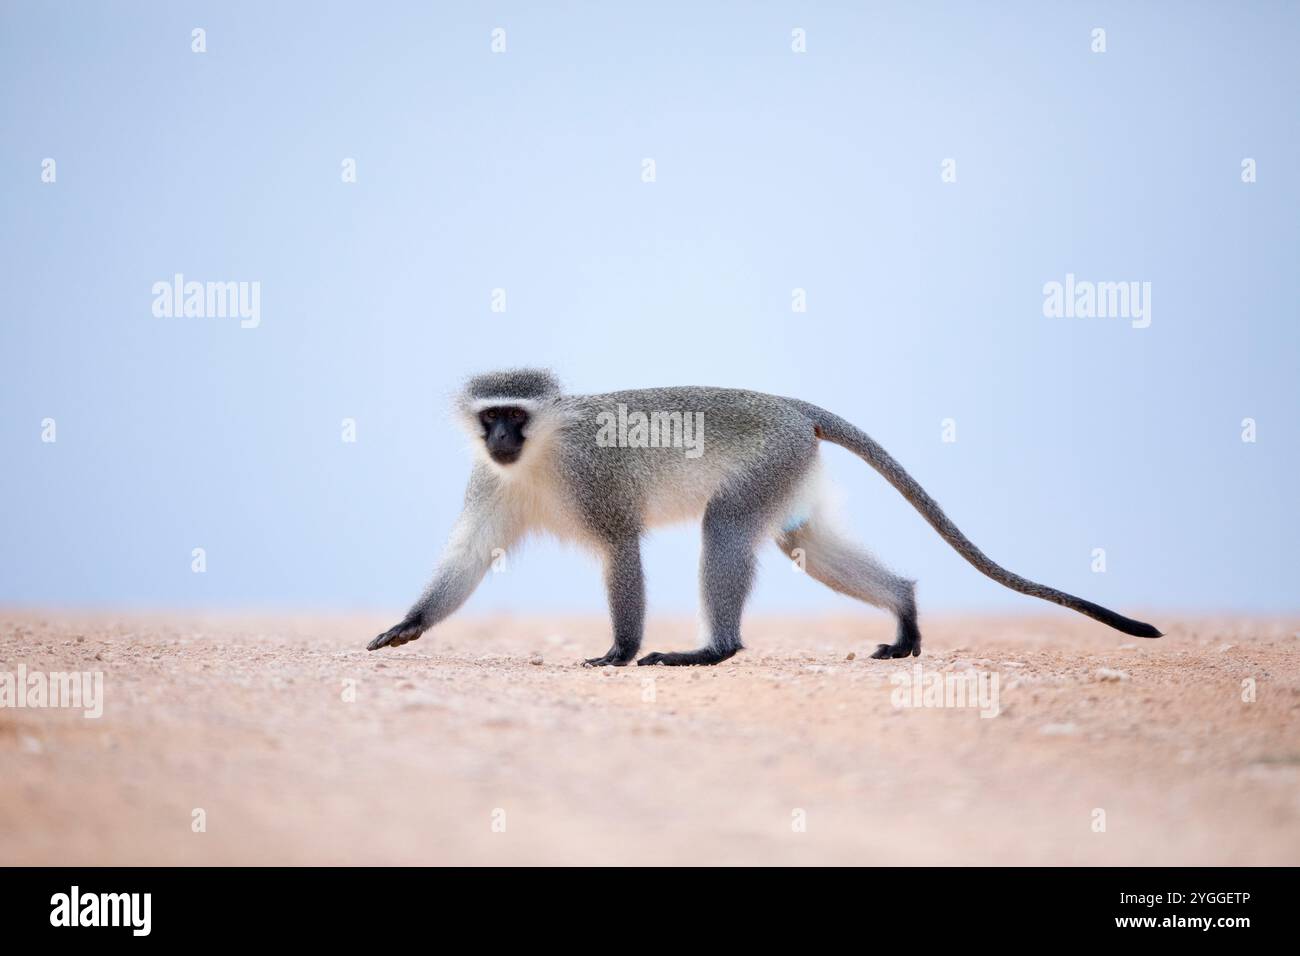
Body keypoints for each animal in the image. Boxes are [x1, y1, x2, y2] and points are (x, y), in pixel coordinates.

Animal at [371, 369, 1164, 665]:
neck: (537, 459)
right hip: (791, 469)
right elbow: (468, 556)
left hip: (771, 456)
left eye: (517, 416)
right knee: (801, 541)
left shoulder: (597, 482)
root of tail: (788, 404)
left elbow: (623, 549)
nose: (502, 439)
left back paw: (714, 650)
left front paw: (620, 652)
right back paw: (905, 614)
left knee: (724, 527)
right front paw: (408, 624)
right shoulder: (487, 482)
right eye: (491, 419)